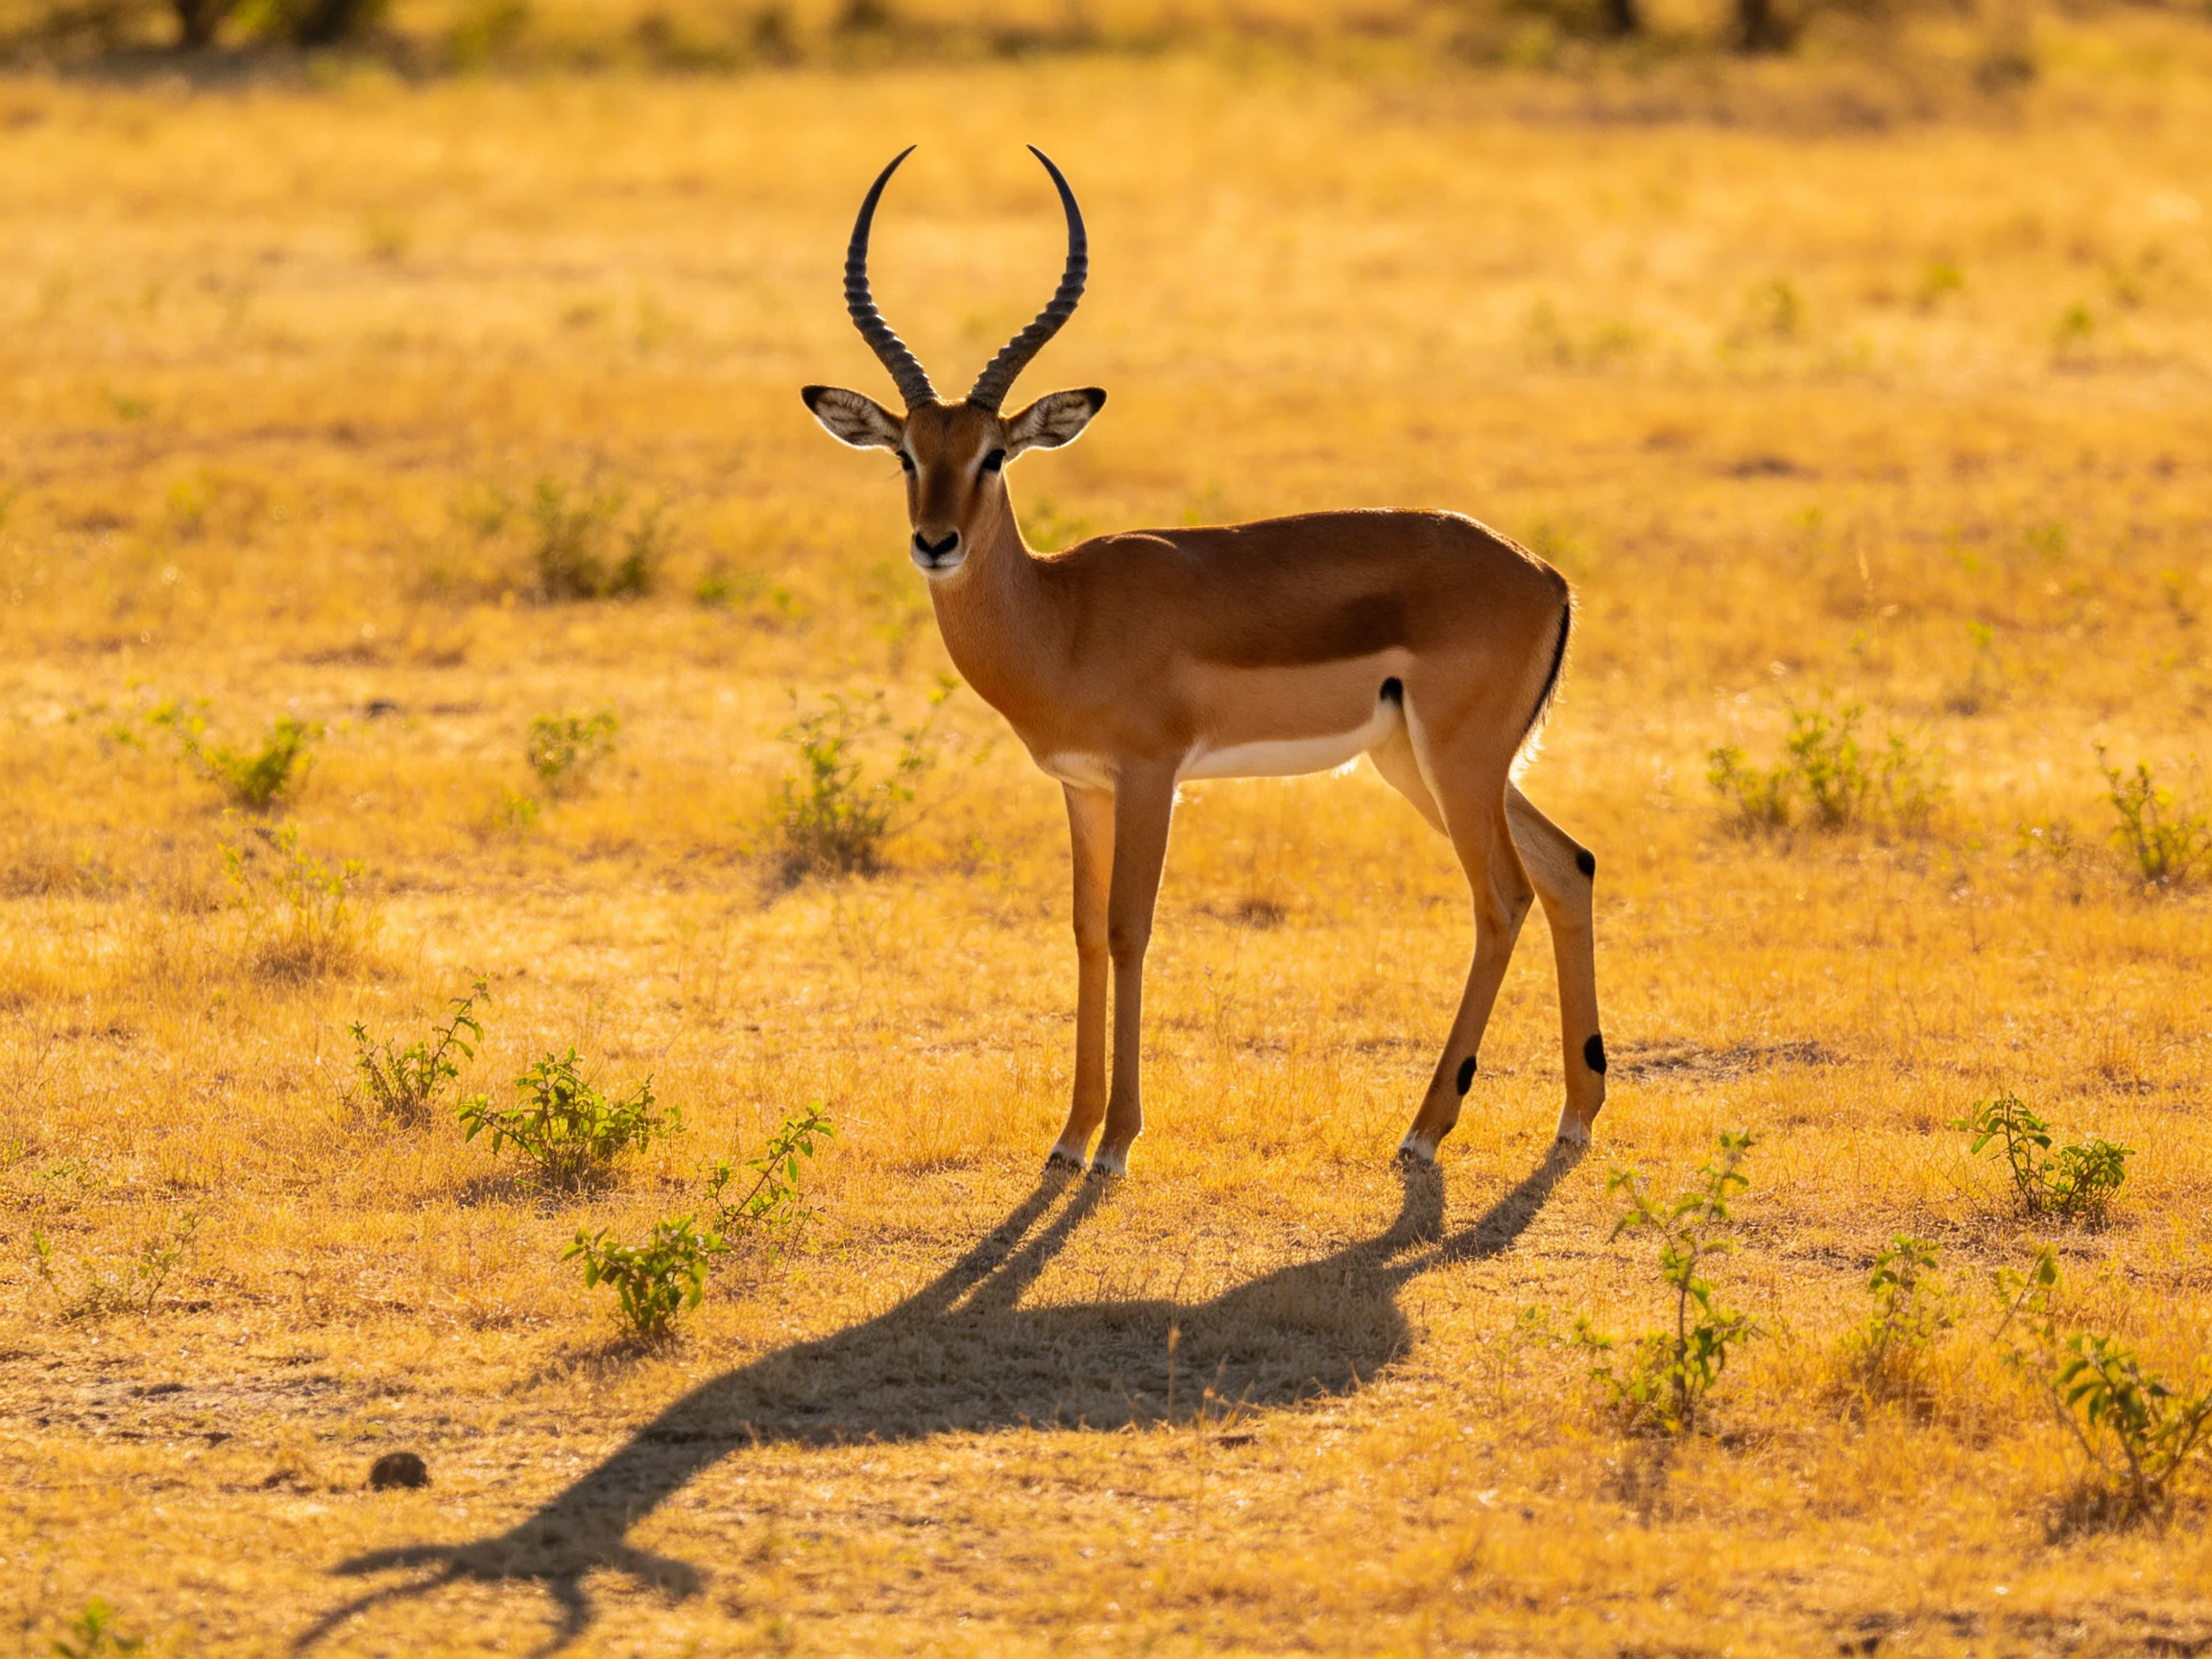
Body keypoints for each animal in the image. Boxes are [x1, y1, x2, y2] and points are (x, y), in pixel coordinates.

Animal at [802, 147, 1607, 1176]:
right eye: (906, 453)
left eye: (995, 456)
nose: (935, 543)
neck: (1063, 616)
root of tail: (1547, 575)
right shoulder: (1083, 787)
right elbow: (1083, 932)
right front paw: (1068, 1137)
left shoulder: (1152, 777)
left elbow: (1130, 928)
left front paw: (1115, 1142)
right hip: (1423, 762)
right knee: (1568, 865)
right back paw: (1575, 1117)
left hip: (1457, 765)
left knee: (1503, 894)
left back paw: (1425, 1129)